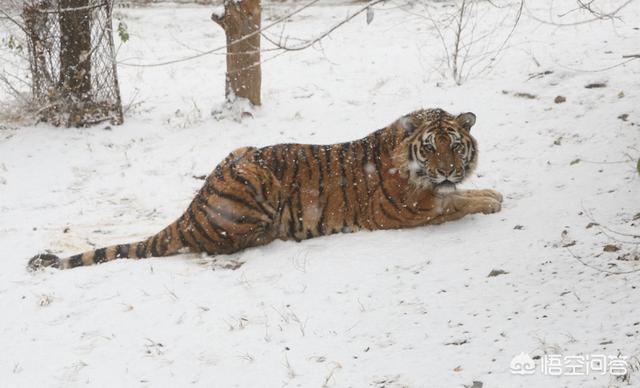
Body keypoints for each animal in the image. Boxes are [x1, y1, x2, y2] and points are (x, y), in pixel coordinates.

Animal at [27, 106, 502, 270]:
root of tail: (189, 214)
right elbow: (456, 203)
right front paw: (492, 199)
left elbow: (458, 196)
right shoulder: (403, 209)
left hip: (241, 151)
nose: (448, 171)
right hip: (253, 176)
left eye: (455, 145)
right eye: (431, 147)